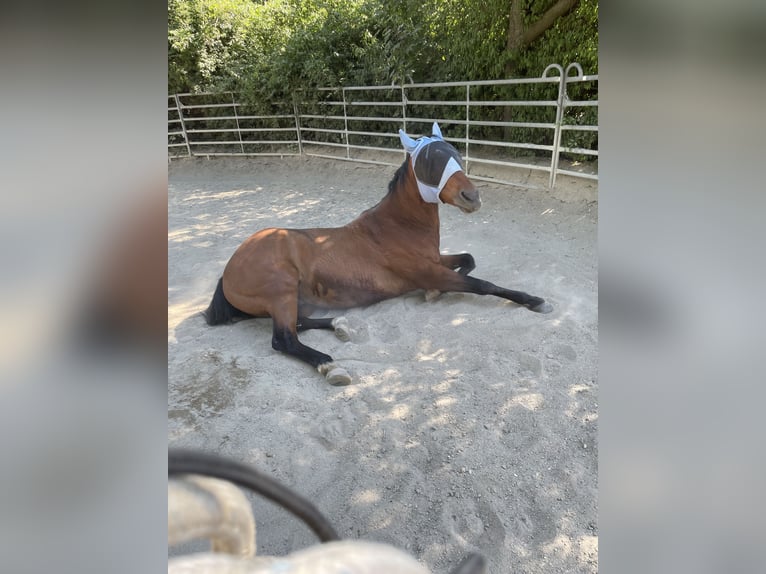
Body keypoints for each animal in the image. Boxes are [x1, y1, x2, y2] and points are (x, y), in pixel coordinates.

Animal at [204, 122, 552, 385]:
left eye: (456, 155)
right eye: (430, 162)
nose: (472, 197)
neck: (397, 226)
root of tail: (228, 269)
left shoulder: (436, 261)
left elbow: (469, 260)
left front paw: (433, 294)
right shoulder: (429, 270)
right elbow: (484, 285)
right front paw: (536, 301)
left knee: (300, 322)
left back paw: (342, 326)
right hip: (282, 290)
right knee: (284, 339)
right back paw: (333, 367)